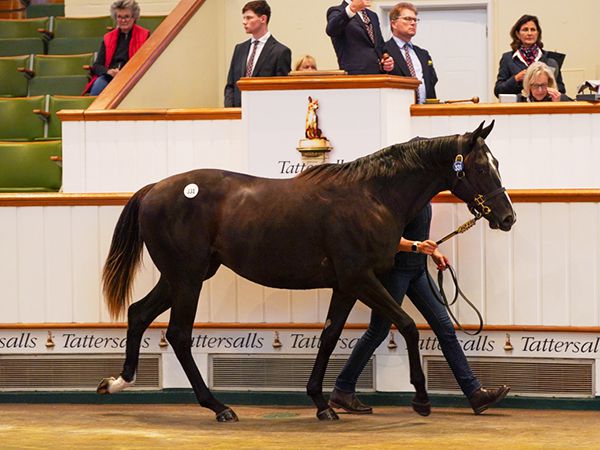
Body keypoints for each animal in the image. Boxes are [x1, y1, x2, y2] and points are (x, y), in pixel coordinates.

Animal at [98, 120, 516, 422]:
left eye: (497, 164)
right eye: (482, 166)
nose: (507, 217)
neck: (373, 197)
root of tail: (154, 189)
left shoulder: (345, 286)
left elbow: (330, 336)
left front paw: (322, 403)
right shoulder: (360, 278)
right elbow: (409, 326)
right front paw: (422, 400)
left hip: (183, 276)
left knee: (138, 314)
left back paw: (117, 382)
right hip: (187, 279)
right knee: (179, 335)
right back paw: (218, 407)